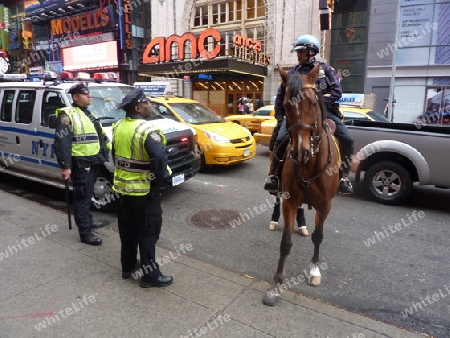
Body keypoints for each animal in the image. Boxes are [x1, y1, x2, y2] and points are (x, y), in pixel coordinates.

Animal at [262, 63, 340, 306]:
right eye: (286, 105)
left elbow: (318, 236)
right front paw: (276, 285)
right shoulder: (290, 199)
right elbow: (285, 243)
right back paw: (274, 220)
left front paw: (314, 271)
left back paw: (303, 224)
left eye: (313, 103)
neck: (310, 163)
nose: (300, 152)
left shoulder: (326, 204)